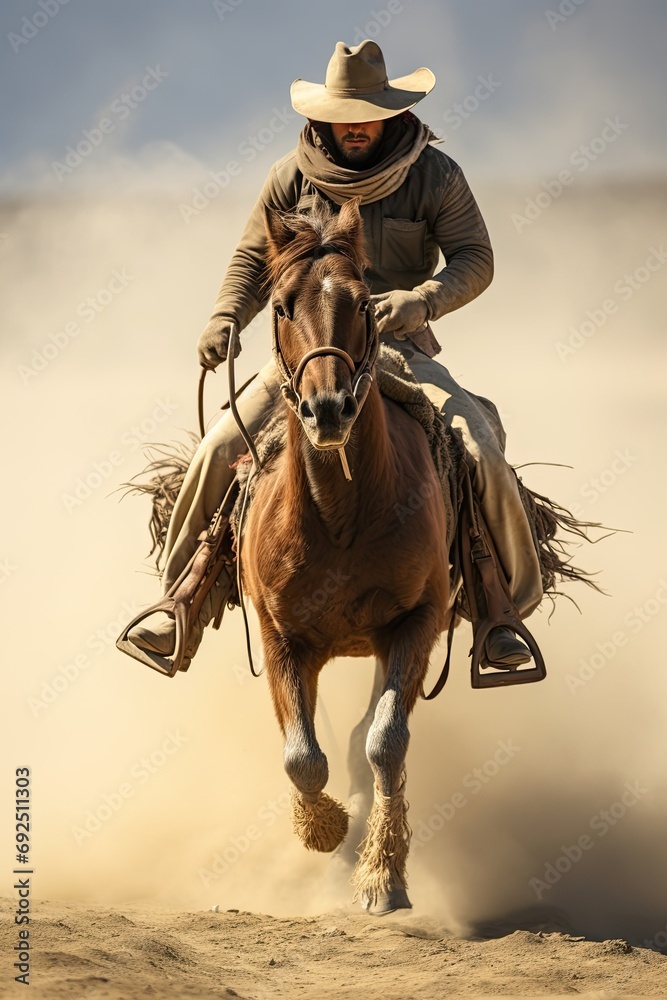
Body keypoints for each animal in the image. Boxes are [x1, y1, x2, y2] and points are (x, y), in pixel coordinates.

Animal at [241, 197, 451, 914]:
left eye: (363, 303)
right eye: (280, 305)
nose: (327, 409)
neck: (340, 519)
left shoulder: (418, 621)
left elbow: (384, 743)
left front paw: (382, 873)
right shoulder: (281, 637)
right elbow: (303, 755)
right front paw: (326, 832)